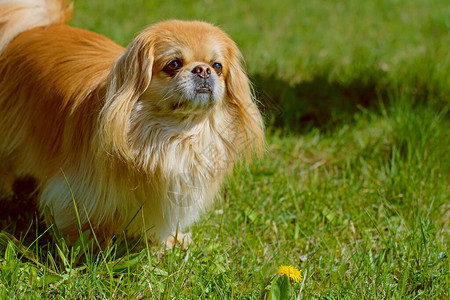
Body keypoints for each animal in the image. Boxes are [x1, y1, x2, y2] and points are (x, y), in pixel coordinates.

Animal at [0, 0, 264, 244]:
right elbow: (79, 224)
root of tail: (33, 29)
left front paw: (169, 242)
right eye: (174, 64)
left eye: (217, 67)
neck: (175, 134)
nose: (203, 70)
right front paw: (88, 249)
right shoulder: (77, 189)